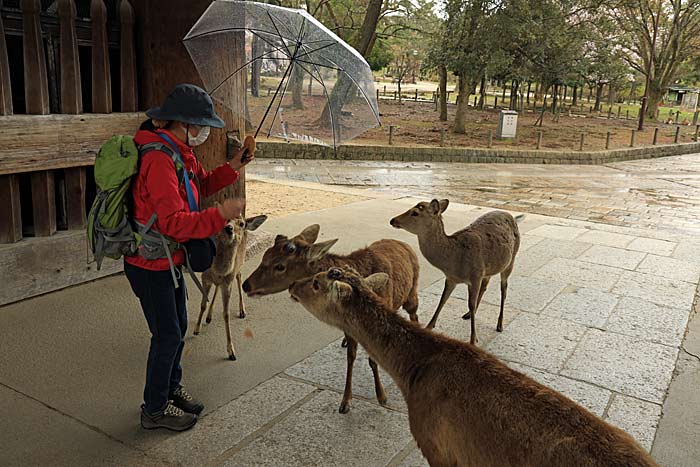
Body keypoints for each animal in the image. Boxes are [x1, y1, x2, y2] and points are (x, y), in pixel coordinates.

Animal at [194, 215, 268, 362]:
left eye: (241, 224)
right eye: (225, 219)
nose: (228, 228)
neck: (218, 270)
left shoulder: (228, 282)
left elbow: (226, 314)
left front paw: (231, 352)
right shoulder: (205, 277)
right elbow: (203, 305)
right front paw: (196, 329)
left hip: (240, 261)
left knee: (239, 276)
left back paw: (242, 311)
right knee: (217, 286)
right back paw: (209, 316)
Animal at [241, 225, 422, 414]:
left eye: (280, 266)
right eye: (265, 254)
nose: (246, 285)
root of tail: (403, 244)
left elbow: (373, 359)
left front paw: (381, 396)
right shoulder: (350, 328)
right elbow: (351, 357)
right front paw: (345, 401)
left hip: (411, 294)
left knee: (415, 315)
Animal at [392, 199, 524, 346]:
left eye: (415, 212)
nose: (393, 220)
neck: (454, 261)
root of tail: (513, 217)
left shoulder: (475, 275)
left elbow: (470, 303)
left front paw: (473, 340)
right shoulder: (452, 278)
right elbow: (443, 299)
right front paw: (429, 326)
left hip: (511, 261)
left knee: (504, 288)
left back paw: (499, 324)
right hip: (489, 268)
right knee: (486, 285)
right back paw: (469, 315)